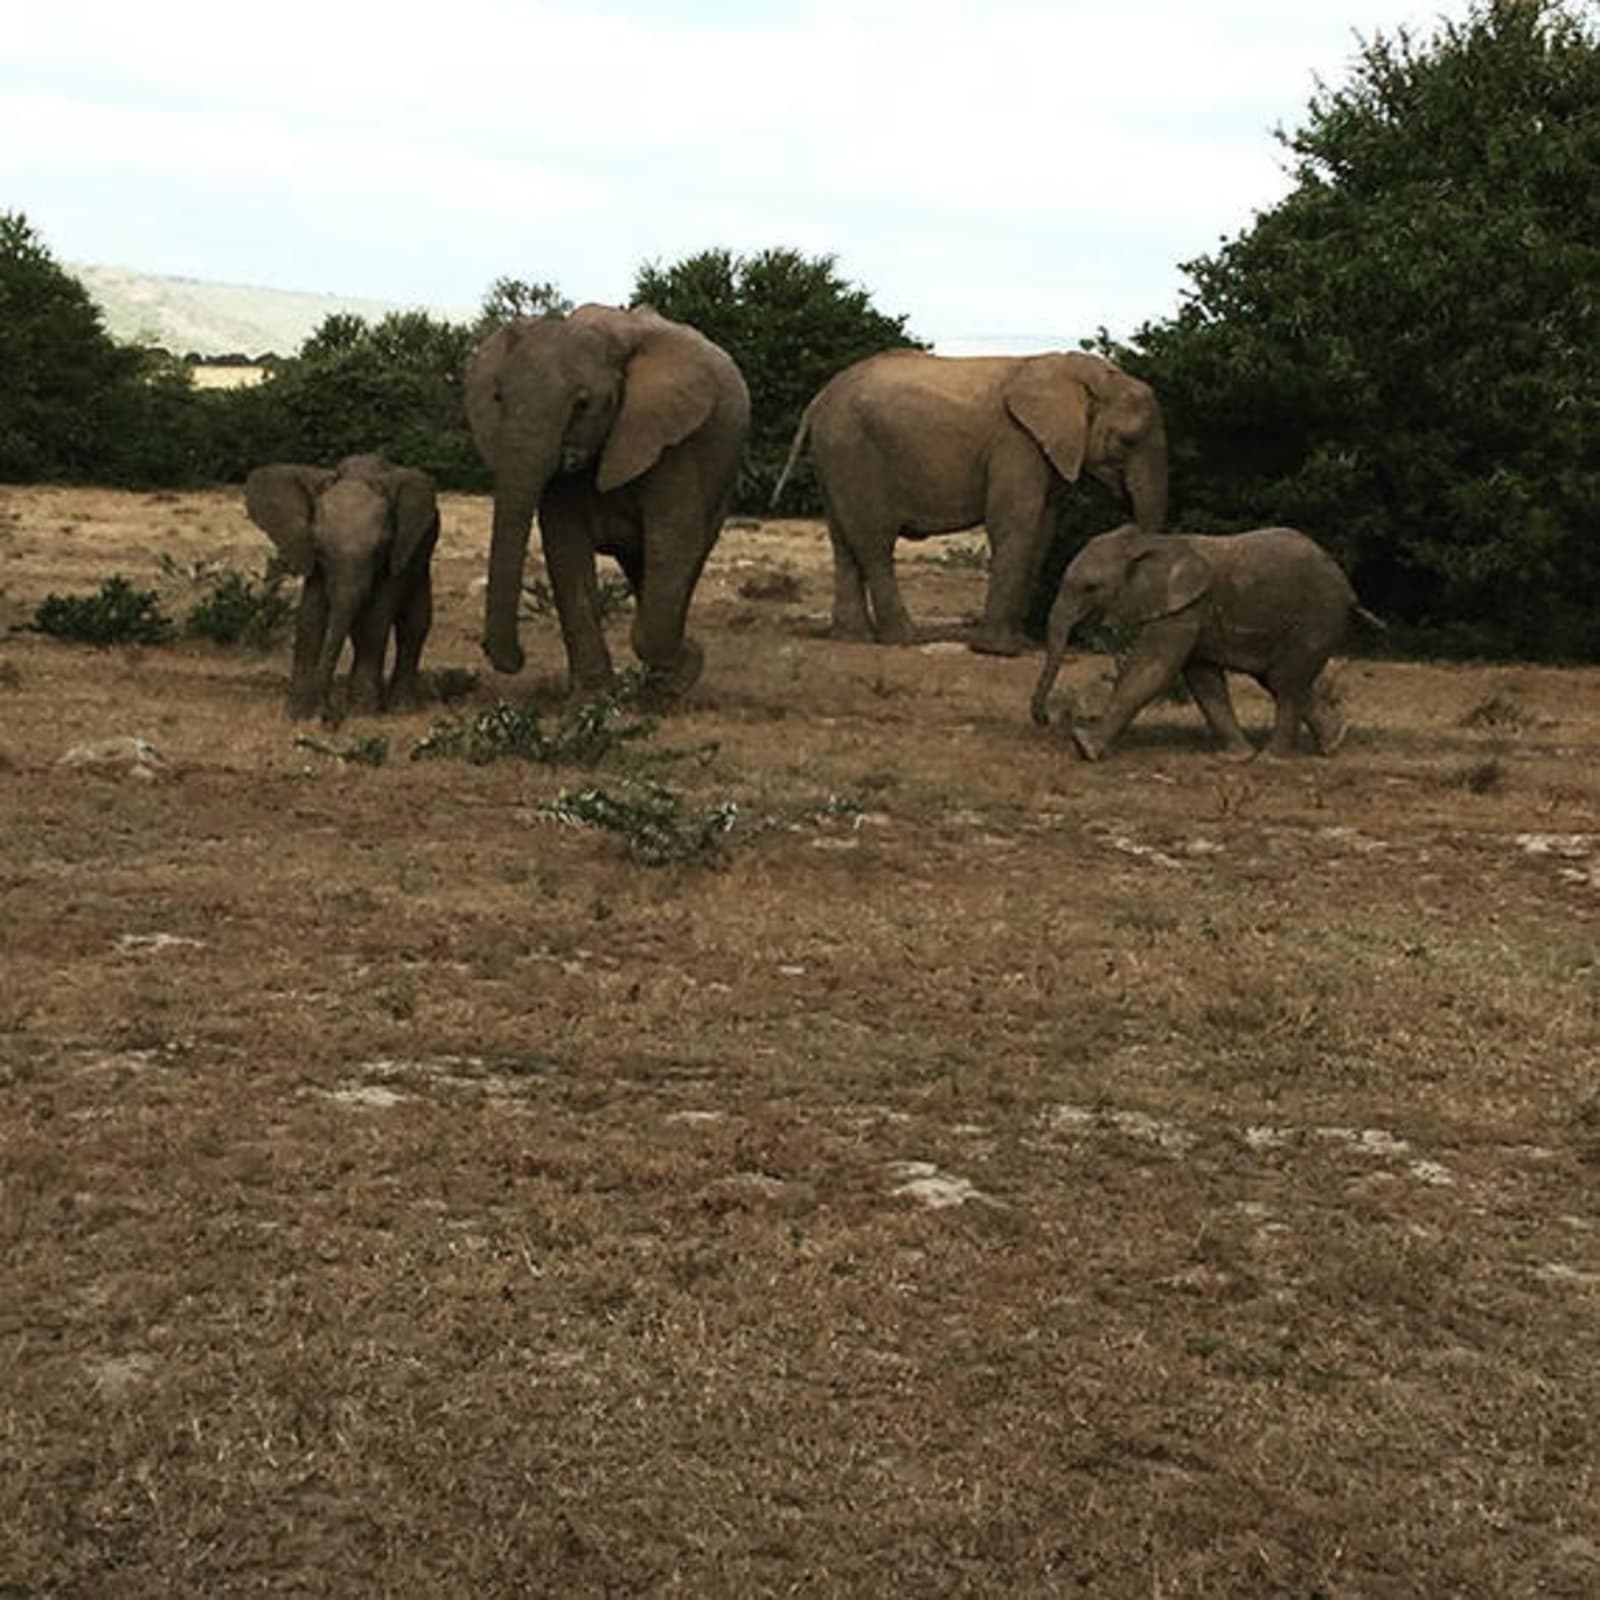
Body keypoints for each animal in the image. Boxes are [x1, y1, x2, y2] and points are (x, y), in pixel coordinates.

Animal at [244, 453, 440, 722]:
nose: (326, 714)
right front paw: (298, 713)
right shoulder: (313, 560)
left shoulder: (397, 550)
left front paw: (363, 712)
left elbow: (375, 620)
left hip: (423, 549)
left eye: (380, 549)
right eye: (319, 548)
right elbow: (310, 617)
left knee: (413, 623)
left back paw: (401, 708)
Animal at [465, 303, 750, 700]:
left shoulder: (671, 440)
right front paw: (592, 697)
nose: (517, 658)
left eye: (582, 404)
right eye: (498, 398)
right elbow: (566, 549)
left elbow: (673, 537)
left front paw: (686, 663)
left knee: (682, 558)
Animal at [769, 349, 1167, 654]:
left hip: (834, 455)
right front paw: (998, 651)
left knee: (843, 540)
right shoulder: (1015, 441)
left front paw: (1020, 644)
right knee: (874, 543)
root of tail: (818, 400)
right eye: (1127, 441)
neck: (1074, 372)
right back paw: (904, 639)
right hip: (854, 450)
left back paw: (852, 638)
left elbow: (1042, 528)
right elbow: (1015, 524)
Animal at [1030, 524, 1383, 760]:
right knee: (1280, 679)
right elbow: (1203, 679)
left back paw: (1273, 759)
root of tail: (1349, 591)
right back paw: (1333, 743)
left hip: (1318, 616)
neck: (1149, 542)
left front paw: (1085, 748)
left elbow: (1152, 669)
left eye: (1090, 587)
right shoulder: (1190, 611)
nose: (1046, 720)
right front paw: (1235, 758)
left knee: (1286, 680)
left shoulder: (1185, 607)